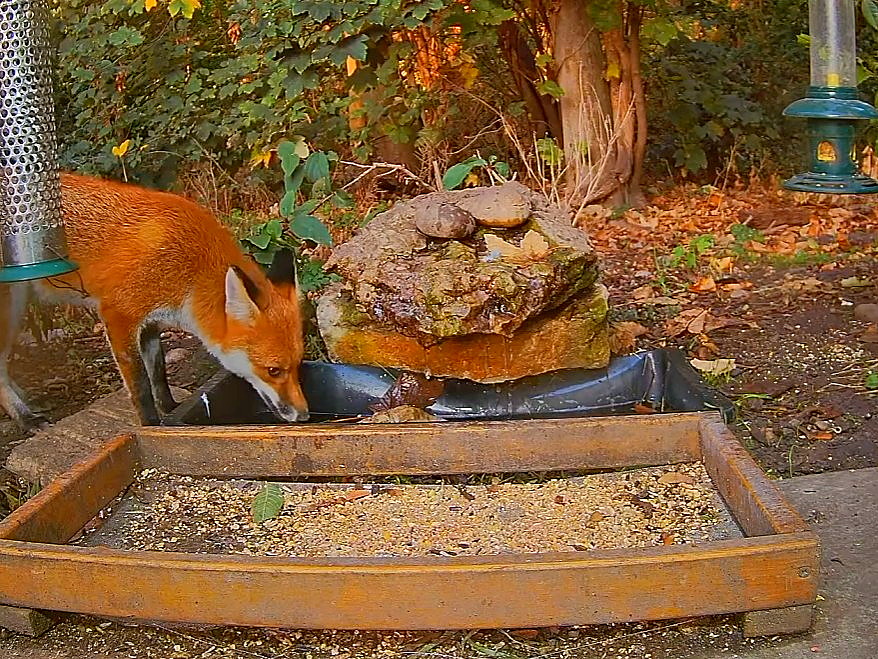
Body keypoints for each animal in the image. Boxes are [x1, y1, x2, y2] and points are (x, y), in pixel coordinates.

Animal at [0, 173, 309, 429]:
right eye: (273, 370)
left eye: (298, 365)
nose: (305, 415)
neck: (191, 269)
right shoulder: (118, 315)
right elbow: (140, 386)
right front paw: (150, 425)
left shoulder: (150, 323)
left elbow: (158, 374)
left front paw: (171, 410)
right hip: (10, 309)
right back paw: (25, 418)